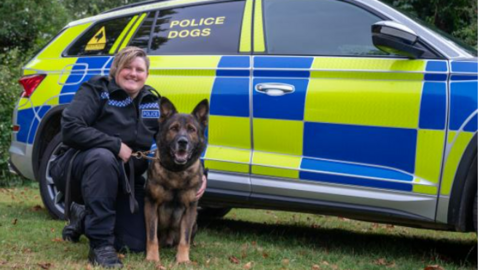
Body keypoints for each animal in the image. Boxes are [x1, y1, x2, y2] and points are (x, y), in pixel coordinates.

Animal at [144, 97, 208, 264]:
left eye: (192, 130)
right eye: (174, 128)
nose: (183, 142)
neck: (176, 172)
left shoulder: (190, 209)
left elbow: (184, 240)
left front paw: (183, 260)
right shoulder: (151, 204)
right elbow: (152, 236)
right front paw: (152, 258)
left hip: (195, 223)